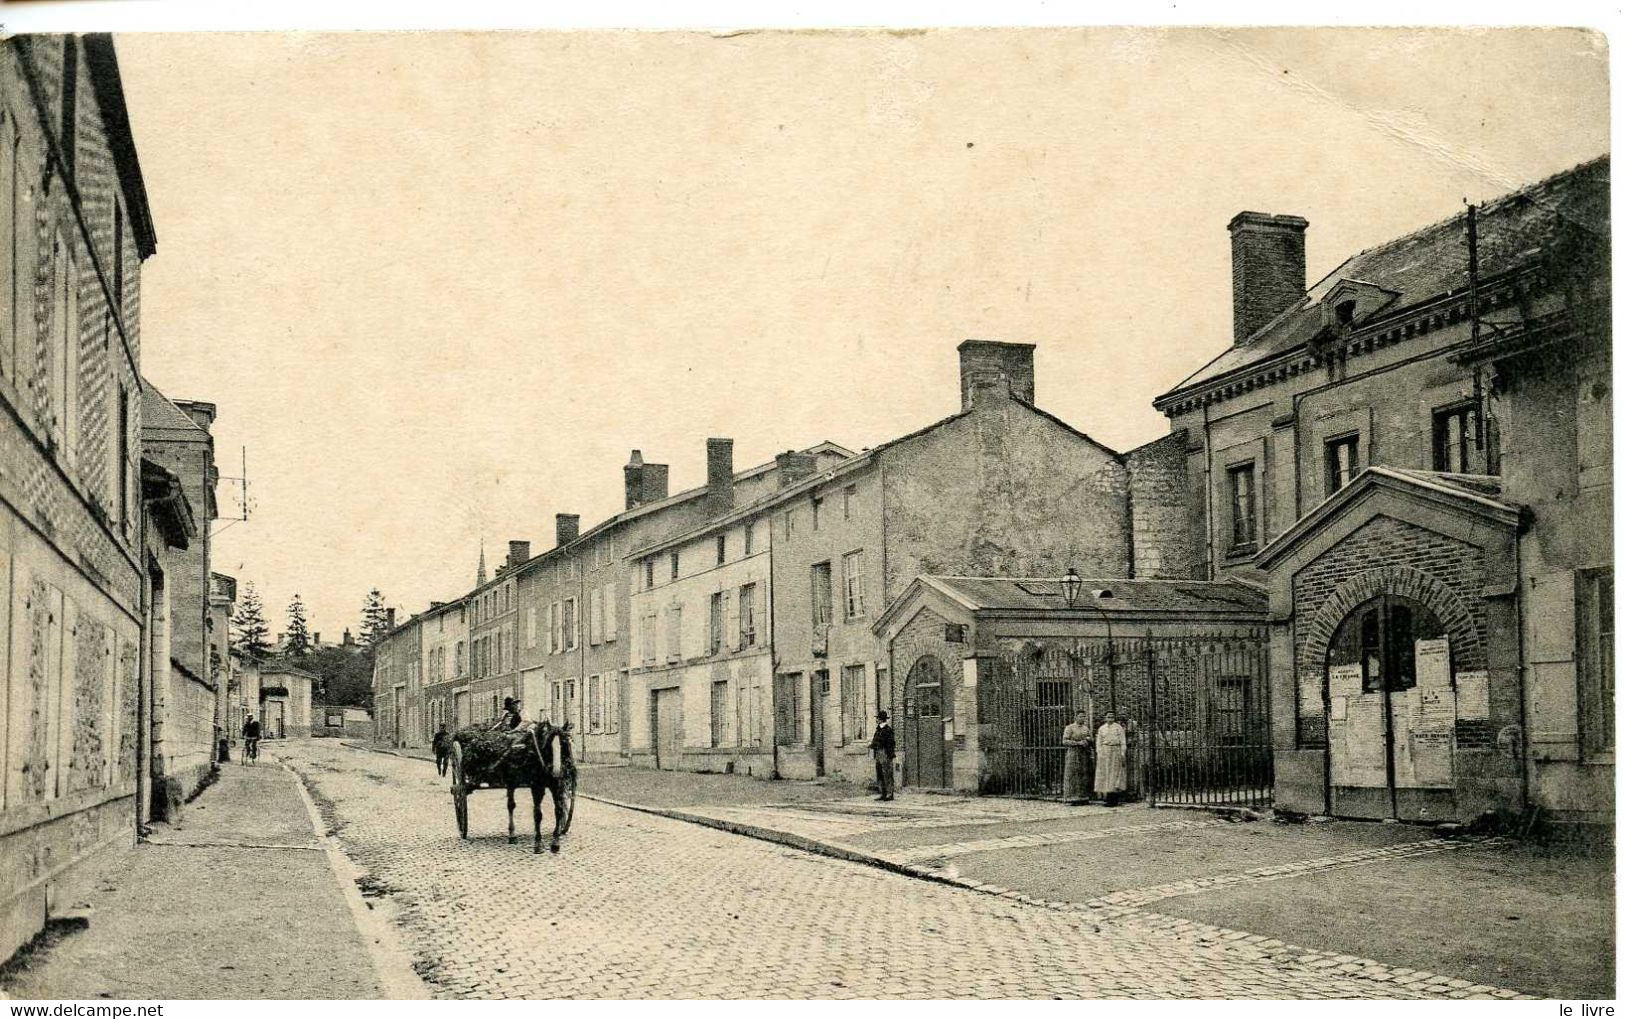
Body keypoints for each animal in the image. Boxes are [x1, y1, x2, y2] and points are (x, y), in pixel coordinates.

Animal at [451, 721, 578, 858]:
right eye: (549, 742)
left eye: (564, 743)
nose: (556, 772)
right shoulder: (536, 786)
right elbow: (537, 814)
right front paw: (538, 844)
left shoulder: (557, 786)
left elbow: (559, 811)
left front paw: (555, 843)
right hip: (509, 781)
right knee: (510, 805)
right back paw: (512, 835)